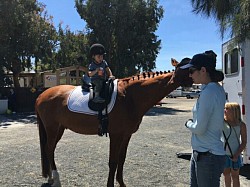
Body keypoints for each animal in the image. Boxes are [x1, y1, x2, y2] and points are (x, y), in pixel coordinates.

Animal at [35, 58, 191, 186]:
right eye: (185, 68)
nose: (190, 86)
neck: (130, 96)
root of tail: (41, 96)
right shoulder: (115, 135)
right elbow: (113, 161)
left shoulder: (126, 135)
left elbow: (121, 159)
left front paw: (121, 183)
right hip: (52, 128)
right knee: (49, 148)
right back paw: (56, 179)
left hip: (59, 128)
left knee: (50, 149)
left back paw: (51, 178)